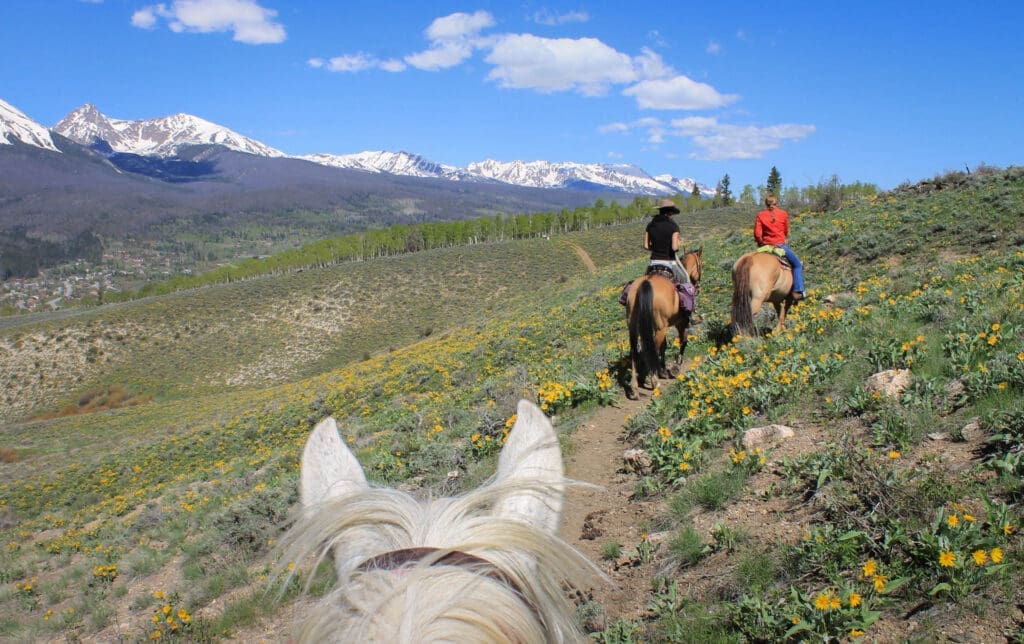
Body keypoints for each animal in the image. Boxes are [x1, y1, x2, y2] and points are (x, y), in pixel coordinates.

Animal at [625, 249, 703, 399]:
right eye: (701, 265)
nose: (698, 286)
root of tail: (646, 283)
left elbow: (664, 347)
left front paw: (663, 369)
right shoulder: (681, 322)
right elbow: (683, 340)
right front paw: (675, 367)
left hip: (634, 326)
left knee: (635, 351)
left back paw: (635, 387)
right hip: (661, 328)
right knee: (650, 349)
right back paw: (654, 382)